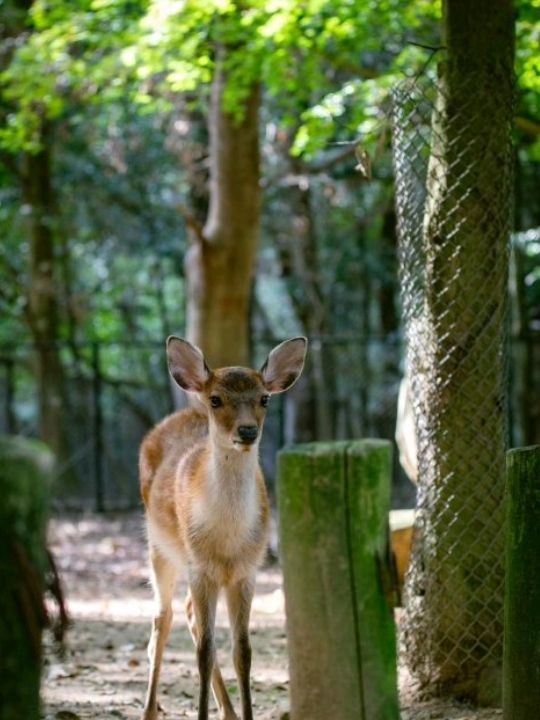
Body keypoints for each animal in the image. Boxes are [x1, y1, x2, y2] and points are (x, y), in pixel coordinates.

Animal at [139, 336, 308, 720]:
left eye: (265, 398)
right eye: (216, 399)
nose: (247, 431)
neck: (227, 542)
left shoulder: (247, 570)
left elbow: (242, 651)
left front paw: (245, 713)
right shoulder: (200, 567)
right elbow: (203, 652)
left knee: (188, 614)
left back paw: (227, 711)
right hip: (159, 546)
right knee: (162, 621)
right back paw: (149, 710)